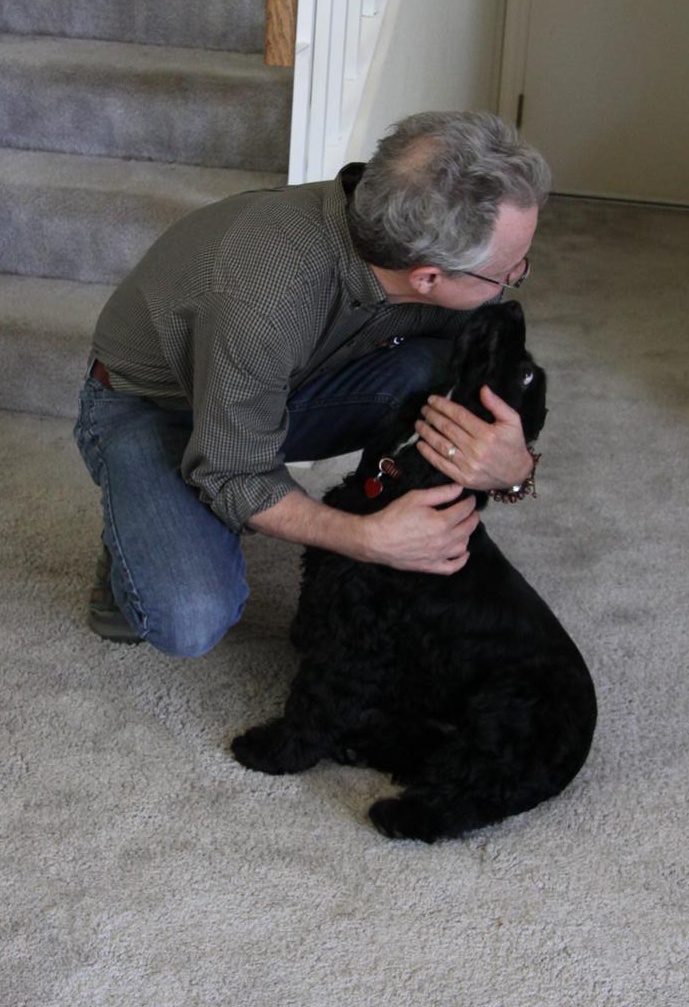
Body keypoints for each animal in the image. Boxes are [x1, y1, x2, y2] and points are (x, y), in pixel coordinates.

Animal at [231, 301, 597, 842]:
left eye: (528, 374)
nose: (511, 303)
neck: (402, 477)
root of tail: (581, 744)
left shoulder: (357, 640)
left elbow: (315, 697)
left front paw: (273, 751)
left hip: (507, 715)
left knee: (473, 790)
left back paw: (400, 813)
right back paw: (362, 746)